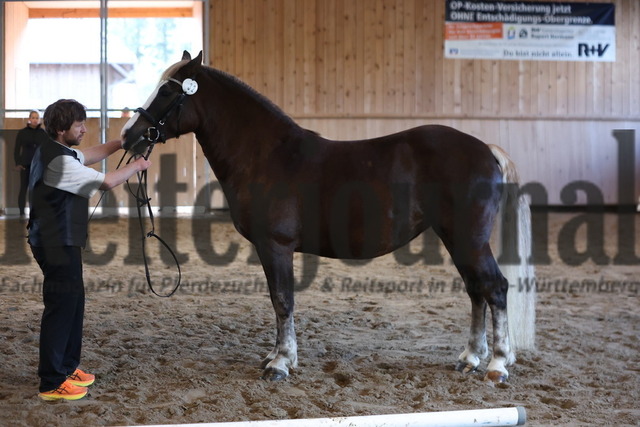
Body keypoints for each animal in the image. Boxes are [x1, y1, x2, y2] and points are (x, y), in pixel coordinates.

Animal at [121, 51, 536, 384]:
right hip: (456, 238)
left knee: (494, 288)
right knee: (476, 290)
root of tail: (485, 149)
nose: (129, 135)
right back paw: (470, 358)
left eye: (168, 92)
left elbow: (282, 300)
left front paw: (281, 364)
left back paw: (497, 365)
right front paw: (277, 356)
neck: (267, 155)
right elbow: (278, 300)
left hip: (468, 239)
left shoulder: (276, 246)